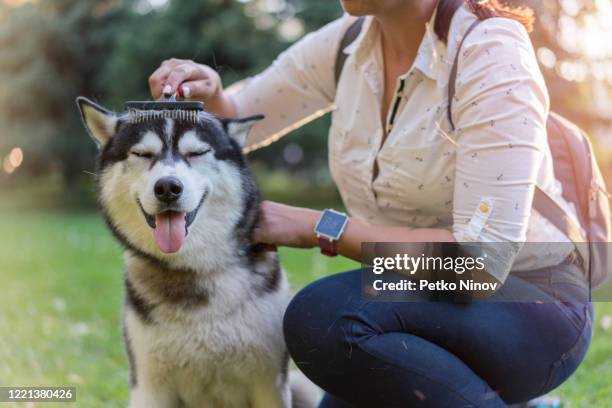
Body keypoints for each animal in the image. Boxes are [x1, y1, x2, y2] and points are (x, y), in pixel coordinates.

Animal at [74, 99, 318, 408]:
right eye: (141, 154)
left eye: (197, 152)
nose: (168, 187)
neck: (194, 269)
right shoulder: (149, 385)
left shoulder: (269, 382)